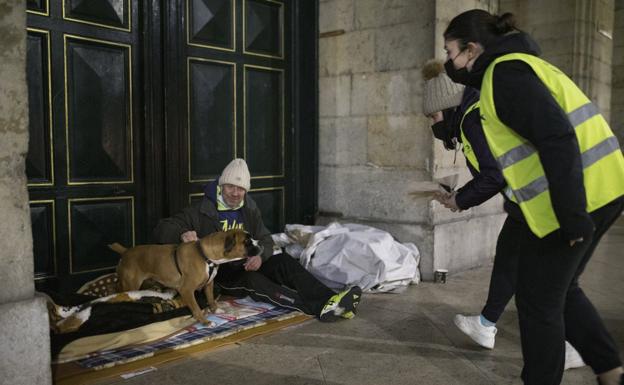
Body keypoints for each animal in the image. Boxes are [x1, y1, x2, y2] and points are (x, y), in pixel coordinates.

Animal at [109, 230, 260, 322]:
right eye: (247, 241)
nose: (260, 244)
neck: (205, 256)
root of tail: (126, 251)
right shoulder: (187, 290)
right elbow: (196, 308)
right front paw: (205, 322)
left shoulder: (209, 284)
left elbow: (210, 299)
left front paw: (215, 309)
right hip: (130, 284)